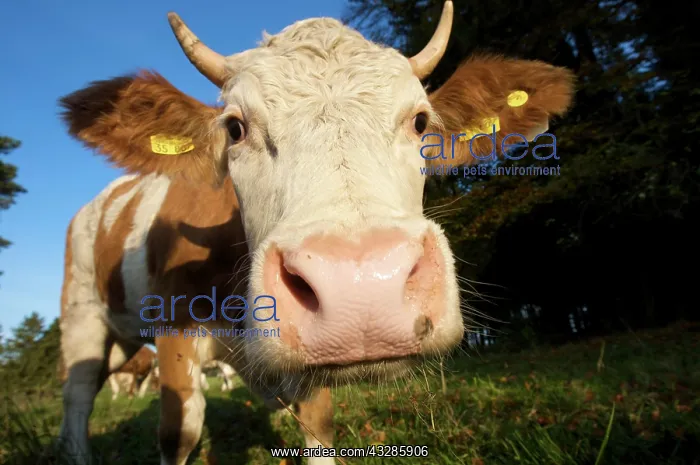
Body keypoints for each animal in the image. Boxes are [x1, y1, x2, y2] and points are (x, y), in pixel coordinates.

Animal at [57, 2, 574, 464]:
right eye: (235, 128)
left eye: (421, 122)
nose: (360, 286)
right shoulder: (175, 330)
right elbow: (178, 434)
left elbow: (319, 427)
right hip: (81, 315)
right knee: (78, 394)